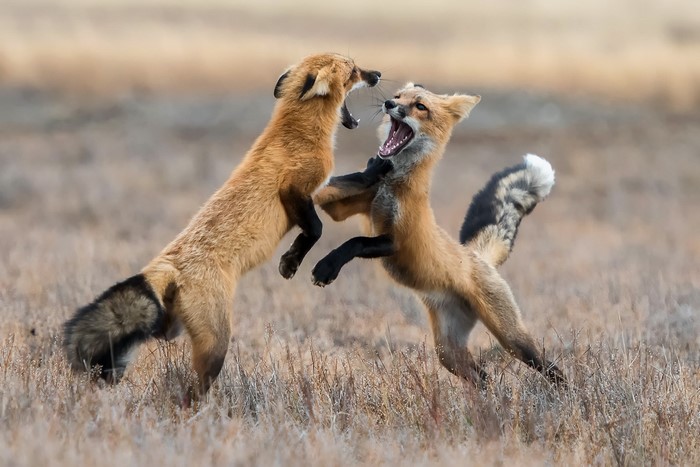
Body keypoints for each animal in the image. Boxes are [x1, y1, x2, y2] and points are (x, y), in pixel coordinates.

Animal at [63, 53, 382, 395]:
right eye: (353, 69)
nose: (377, 74)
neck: (298, 133)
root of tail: (166, 264)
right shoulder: (293, 189)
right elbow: (316, 229)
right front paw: (290, 263)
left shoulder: (316, 189)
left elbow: (343, 192)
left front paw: (379, 168)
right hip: (216, 341)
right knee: (195, 389)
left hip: (172, 327)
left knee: (157, 338)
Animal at [312, 83, 566, 387]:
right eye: (398, 97)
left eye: (420, 107)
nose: (388, 104)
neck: (393, 186)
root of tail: (477, 256)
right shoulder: (344, 208)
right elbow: (342, 188)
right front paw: (368, 168)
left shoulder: (398, 241)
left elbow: (355, 242)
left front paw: (327, 267)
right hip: (449, 353)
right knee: (484, 378)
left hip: (512, 339)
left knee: (551, 368)